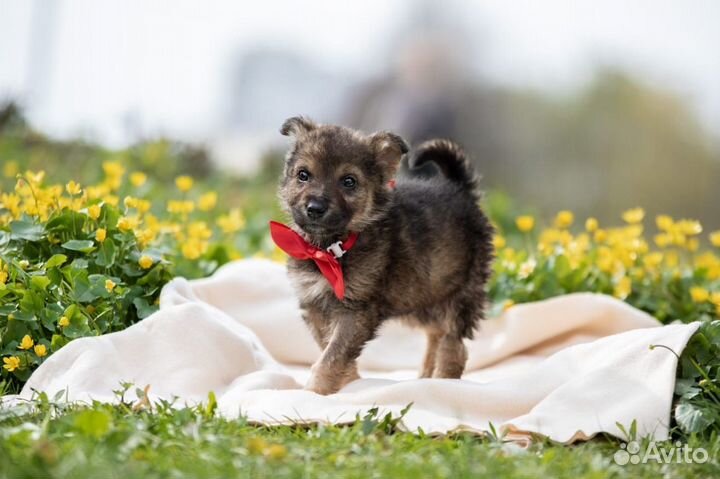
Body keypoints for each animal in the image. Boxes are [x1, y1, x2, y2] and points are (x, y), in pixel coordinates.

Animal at [276, 118, 496, 396]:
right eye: (303, 175)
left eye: (349, 181)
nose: (315, 208)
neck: (330, 249)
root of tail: (460, 189)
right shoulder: (315, 306)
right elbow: (331, 348)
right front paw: (349, 381)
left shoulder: (356, 311)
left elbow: (332, 356)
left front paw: (315, 393)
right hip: (423, 295)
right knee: (436, 333)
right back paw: (426, 376)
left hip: (462, 294)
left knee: (454, 346)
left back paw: (443, 382)